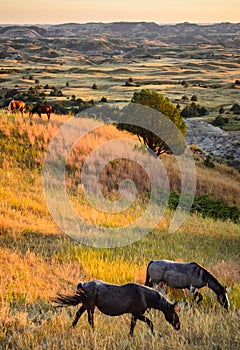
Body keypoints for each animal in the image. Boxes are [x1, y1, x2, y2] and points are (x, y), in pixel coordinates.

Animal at [51, 278, 180, 336]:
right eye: (174, 313)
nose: (178, 326)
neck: (144, 295)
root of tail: (83, 284)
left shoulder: (135, 314)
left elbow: (133, 325)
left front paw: (130, 335)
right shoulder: (138, 314)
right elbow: (150, 323)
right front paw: (153, 334)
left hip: (85, 305)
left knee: (77, 315)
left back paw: (71, 328)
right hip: (90, 306)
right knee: (90, 319)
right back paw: (94, 331)